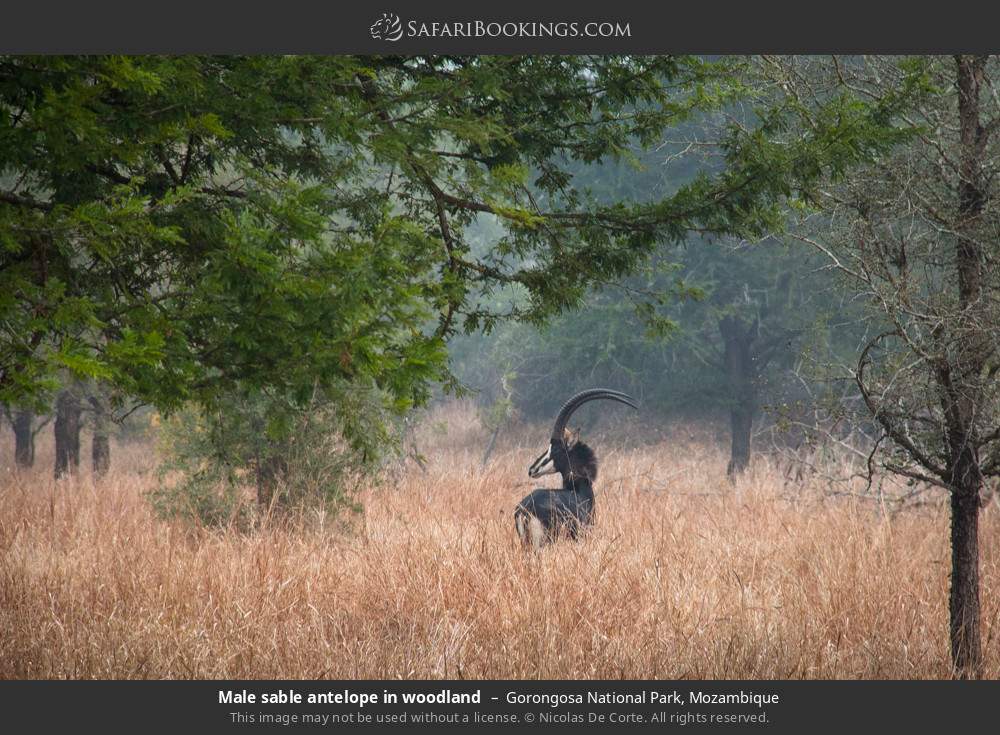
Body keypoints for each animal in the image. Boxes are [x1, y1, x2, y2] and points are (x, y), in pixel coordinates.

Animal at [514, 389, 638, 549]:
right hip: (545, 542)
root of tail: (525, 509)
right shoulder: (582, 535)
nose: (532, 469)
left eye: (556, 449)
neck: (578, 489)